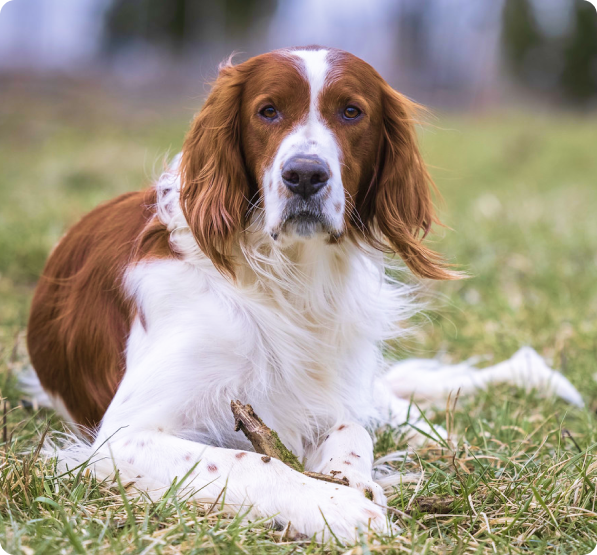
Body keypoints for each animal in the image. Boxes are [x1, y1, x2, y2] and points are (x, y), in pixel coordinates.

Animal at [25, 47, 580, 544]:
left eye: (351, 111)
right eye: (267, 111)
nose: (306, 175)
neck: (286, 280)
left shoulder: (332, 395)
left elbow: (351, 431)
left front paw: (353, 482)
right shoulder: (122, 437)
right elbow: (251, 460)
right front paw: (336, 507)